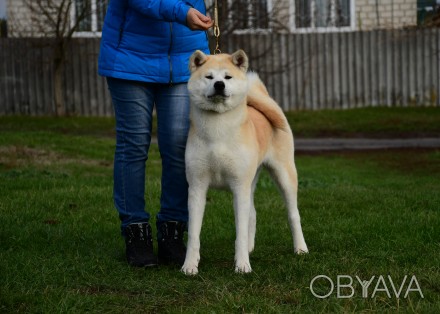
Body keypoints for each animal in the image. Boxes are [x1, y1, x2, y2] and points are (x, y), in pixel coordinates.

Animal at [180, 49, 308, 274]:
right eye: (209, 77)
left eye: (227, 77)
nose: (219, 85)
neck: (217, 131)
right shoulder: (197, 187)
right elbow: (194, 234)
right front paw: (190, 266)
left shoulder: (239, 186)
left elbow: (239, 232)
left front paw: (242, 266)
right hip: (251, 181)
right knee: (252, 214)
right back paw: (250, 248)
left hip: (284, 176)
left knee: (293, 215)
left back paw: (300, 248)